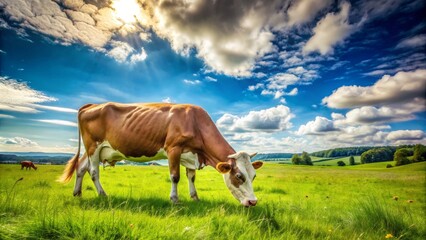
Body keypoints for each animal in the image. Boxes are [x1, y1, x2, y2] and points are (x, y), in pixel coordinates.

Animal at [57, 102, 262, 206]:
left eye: (254, 175)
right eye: (239, 176)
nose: (253, 202)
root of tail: (92, 105)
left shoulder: (191, 154)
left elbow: (191, 177)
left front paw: (195, 197)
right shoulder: (173, 148)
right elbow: (175, 176)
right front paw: (175, 199)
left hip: (94, 149)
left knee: (81, 167)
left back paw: (77, 193)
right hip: (93, 145)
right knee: (93, 171)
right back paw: (102, 194)